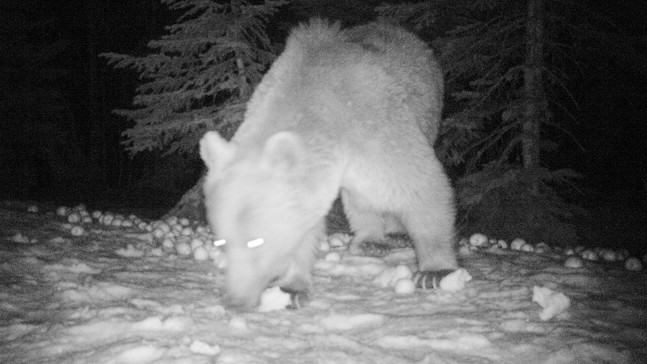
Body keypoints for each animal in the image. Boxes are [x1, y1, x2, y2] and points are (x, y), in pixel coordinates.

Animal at [200, 18, 458, 312]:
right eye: (222, 241)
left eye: (256, 241)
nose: (235, 301)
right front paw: (292, 287)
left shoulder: (376, 128)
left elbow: (419, 183)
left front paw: (434, 272)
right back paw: (370, 240)